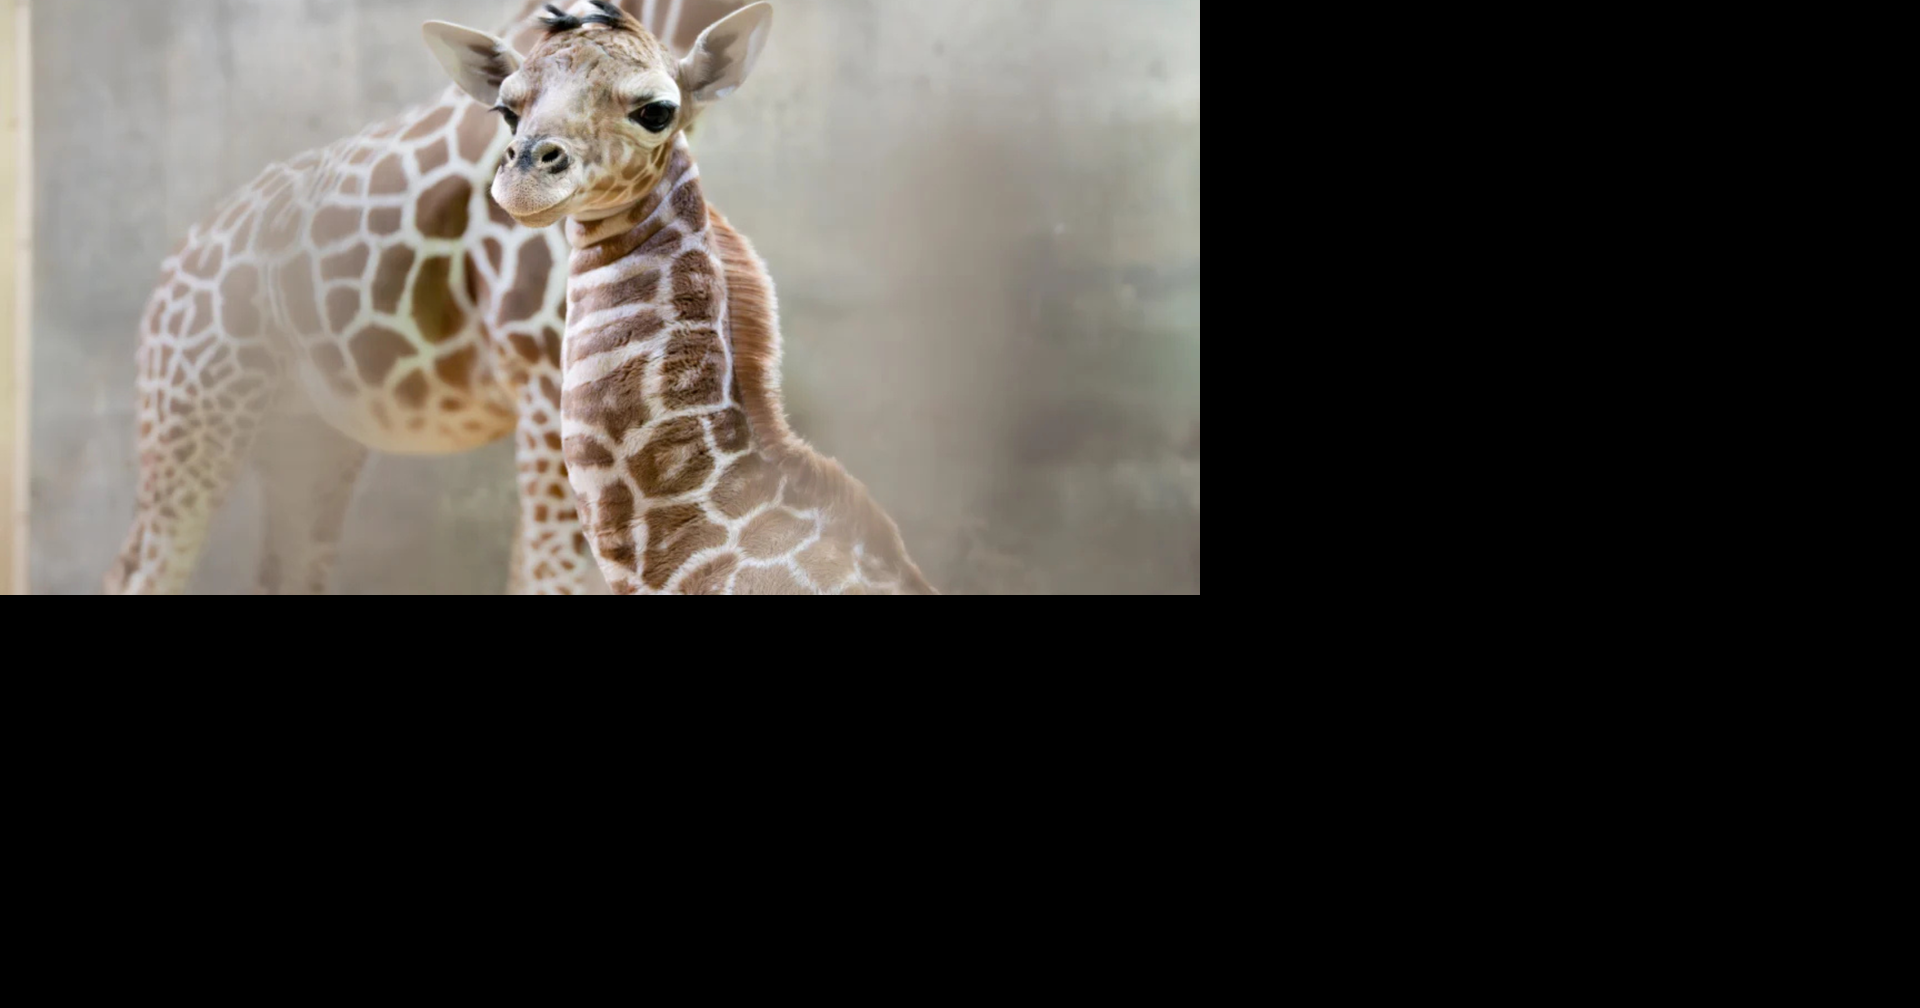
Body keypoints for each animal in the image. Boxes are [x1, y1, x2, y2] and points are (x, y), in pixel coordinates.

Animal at [102, 0, 750, 594]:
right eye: (506, 111)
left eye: (656, 111)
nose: (524, 181)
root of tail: (172, 266)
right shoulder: (543, 376)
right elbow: (553, 575)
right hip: (192, 410)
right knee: (139, 568)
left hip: (308, 438)